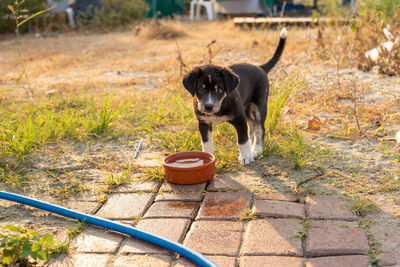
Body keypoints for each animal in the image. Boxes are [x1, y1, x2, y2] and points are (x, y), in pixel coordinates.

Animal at [183, 28, 286, 164]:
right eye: (201, 88)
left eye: (219, 89)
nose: (209, 107)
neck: (221, 105)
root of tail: (260, 67)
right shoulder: (203, 123)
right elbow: (206, 143)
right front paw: (208, 158)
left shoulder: (239, 118)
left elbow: (242, 139)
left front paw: (246, 157)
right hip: (247, 109)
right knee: (252, 127)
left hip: (259, 105)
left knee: (259, 128)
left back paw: (256, 150)